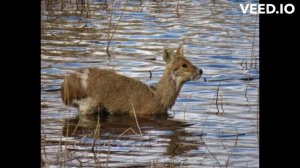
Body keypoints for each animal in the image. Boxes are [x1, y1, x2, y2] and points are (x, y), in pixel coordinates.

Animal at [60, 44, 203, 116]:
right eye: (184, 65)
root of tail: (64, 88)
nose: (200, 71)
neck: (157, 97)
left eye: (189, 60)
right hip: (89, 104)